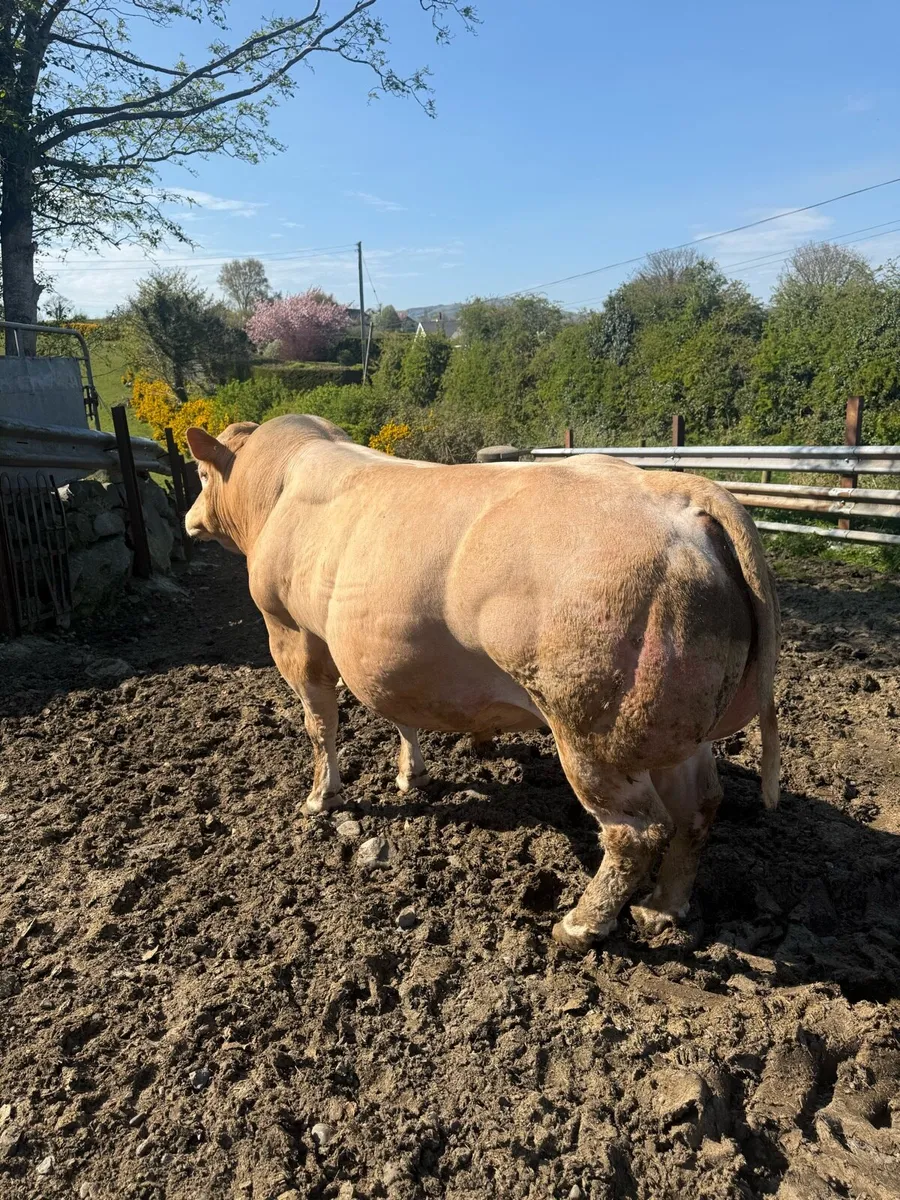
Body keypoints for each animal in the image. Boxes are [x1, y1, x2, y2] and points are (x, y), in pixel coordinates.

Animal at [184, 415, 780, 953]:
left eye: (200, 473)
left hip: (592, 728)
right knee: (700, 808)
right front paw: (412, 775)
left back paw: (578, 926)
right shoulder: (388, 656)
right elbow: (400, 713)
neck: (275, 489)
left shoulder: (289, 631)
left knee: (638, 832)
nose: (190, 519)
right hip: (679, 729)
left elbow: (319, 725)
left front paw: (318, 799)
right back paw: (663, 909)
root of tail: (678, 492)